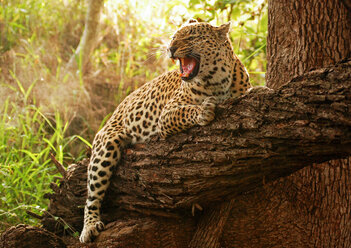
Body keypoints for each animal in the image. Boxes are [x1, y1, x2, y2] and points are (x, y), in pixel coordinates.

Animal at [80, 18, 252, 242]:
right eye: (173, 37)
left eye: (191, 37)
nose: (171, 48)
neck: (217, 81)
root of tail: (115, 110)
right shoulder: (167, 114)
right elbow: (186, 111)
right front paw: (203, 111)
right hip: (105, 145)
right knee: (92, 193)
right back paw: (89, 226)